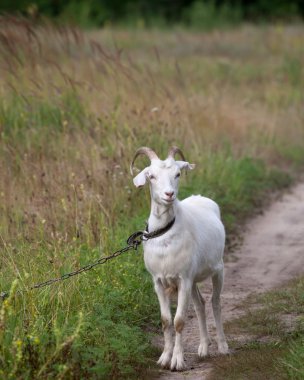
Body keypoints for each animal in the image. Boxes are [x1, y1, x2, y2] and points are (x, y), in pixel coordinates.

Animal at [131, 146, 228, 372]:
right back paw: (203, 348)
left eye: (177, 174)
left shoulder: (183, 279)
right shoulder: (159, 281)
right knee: (200, 304)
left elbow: (179, 321)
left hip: (218, 269)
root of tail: (202, 198)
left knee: (215, 303)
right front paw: (164, 358)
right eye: (151, 176)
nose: (169, 194)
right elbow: (166, 320)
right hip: (193, 280)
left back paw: (222, 346)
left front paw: (177, 361)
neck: (166, 234)